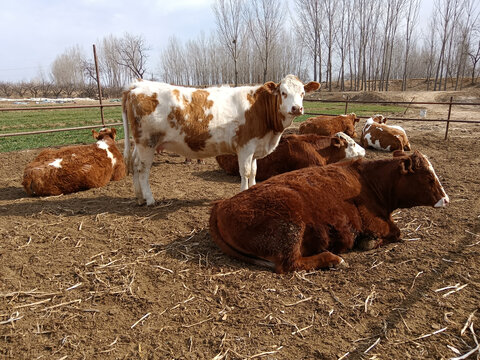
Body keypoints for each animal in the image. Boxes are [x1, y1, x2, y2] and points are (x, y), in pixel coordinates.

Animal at [122, 74, 320, 204]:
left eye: (303, 93)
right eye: (283, 93)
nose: (296, 108)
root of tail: (137, 85)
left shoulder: (255, 147)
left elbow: (254, 171)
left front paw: (253, 190)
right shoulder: (245, 146)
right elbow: (245, 172)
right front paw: (243, 193)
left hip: (141, 143)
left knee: (134, 164)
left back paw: (139, 197)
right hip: (147, 142)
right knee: (142, 169)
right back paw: (149, 199)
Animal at [208, 150, 448, 272]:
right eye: (428, 178)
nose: (445, 199)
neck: (369, 181)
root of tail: (221, 205)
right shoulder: (375, 222)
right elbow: (396, 233)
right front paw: (368, 242)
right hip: (290, 228)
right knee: (291, 264)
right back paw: (333, 259)